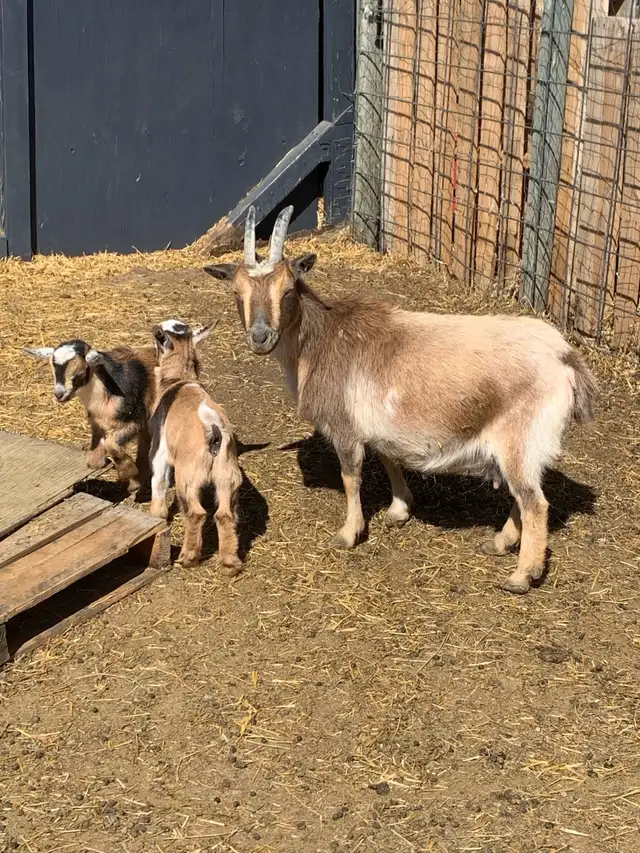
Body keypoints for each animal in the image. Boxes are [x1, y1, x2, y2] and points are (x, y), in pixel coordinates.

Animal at [24, 340, 157, 492]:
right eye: (52, 369)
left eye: (81, 371)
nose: (59, 395)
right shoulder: (96, 421)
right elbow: (96, 455)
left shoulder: (136, 419)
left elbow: (111, 443)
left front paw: (128, 472)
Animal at [149, 319, 243, 574]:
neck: (179, 381)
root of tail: (213, 431)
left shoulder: (160, 451)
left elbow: (158, 483)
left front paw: (156, 516)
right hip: (227, 476)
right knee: (225, 514)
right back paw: (230, 562)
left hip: (188, 477)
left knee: (196, 513)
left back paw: (188, 557)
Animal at [204, 205, 599, 594]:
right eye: (237, 292)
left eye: (287, 290)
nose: (260, 337)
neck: (320, 340)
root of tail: (564, 357)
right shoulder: (383, 424)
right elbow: (389, 458)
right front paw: (399, 510)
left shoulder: (346, 429)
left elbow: (351, 477)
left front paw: (349, 533)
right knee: (521, 496)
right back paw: (499, 543)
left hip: (521, 439)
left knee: (534, 503)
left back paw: (522, 575)